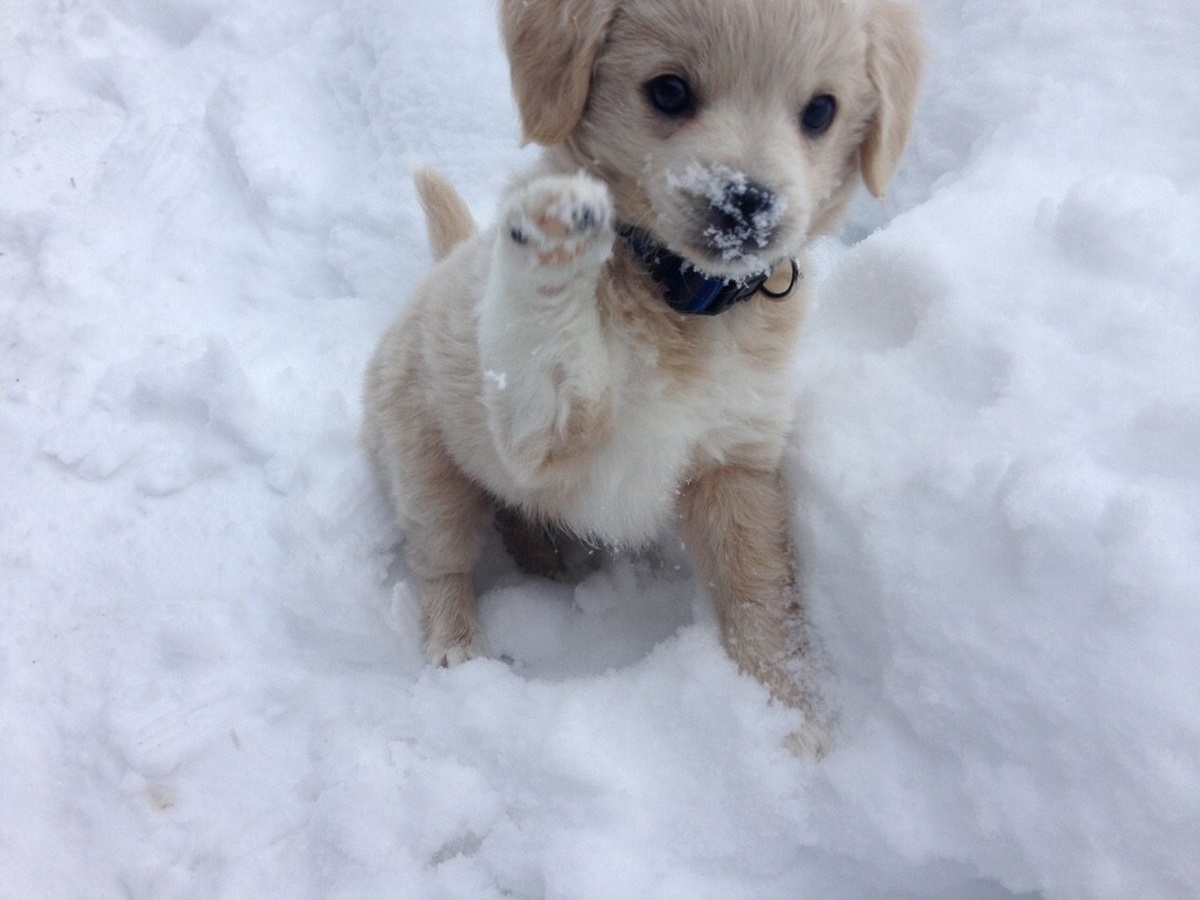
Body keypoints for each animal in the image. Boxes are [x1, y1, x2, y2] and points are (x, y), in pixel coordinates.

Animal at [360, 0, 921, 758]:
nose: (747, 203)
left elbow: (760, 590)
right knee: (441, 561)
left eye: (820, 111)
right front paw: (555, 236)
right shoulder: (532, 421)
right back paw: (458, 647)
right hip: (425, 468)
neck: (679, 297)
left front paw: (786, 712)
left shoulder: (737, 463)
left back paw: (544, 556)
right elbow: (548, 338)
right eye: (670, 92)